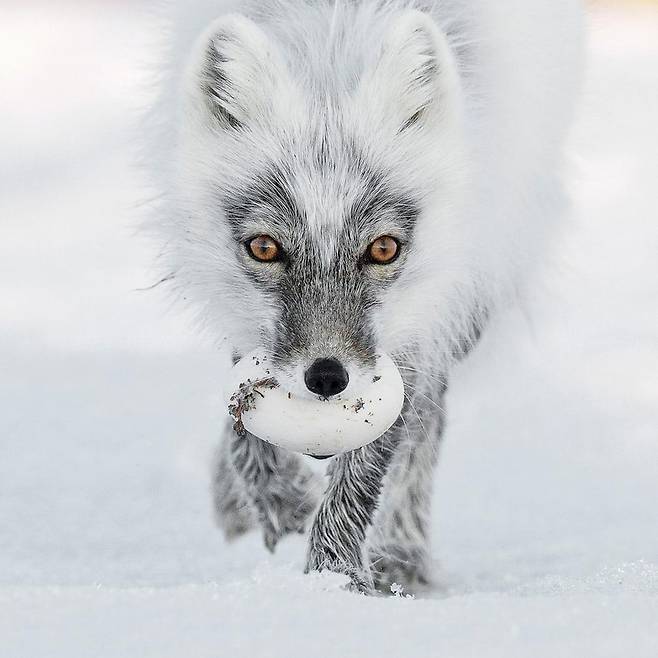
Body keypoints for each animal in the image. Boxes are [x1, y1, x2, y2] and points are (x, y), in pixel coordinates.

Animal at [146, 0, 580, 592]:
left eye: (383, 248)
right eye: (264, 247)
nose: (328, 378)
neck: (332, 47)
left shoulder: (419, 324)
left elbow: (370, 465)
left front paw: (335, 582)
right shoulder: (244, 317)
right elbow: (245, 424)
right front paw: (281, 503)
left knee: (427, 423)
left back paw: (401, 554)